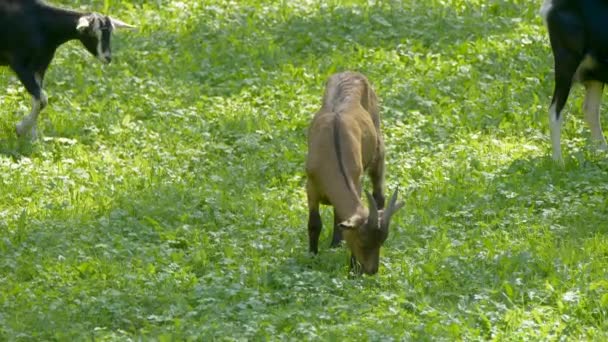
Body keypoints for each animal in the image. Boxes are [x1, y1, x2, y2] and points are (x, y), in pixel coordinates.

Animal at [0, 0, 133, 139]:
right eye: (91, 33)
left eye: (109, 34)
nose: (107, 57)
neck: (40, 23)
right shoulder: (20, 65)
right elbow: (42, 99)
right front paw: (21, 129)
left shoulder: (39, 67)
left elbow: (38, 99)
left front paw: (31, 136)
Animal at [306, 71, 402, 276]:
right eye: (362, 241)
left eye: (382, 242)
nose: (371, 270)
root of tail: (352, 73)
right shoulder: (310, 186)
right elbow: (315, 223)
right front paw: (312, 257)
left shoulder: (356, 180)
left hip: (378, 147)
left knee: (378, 194)